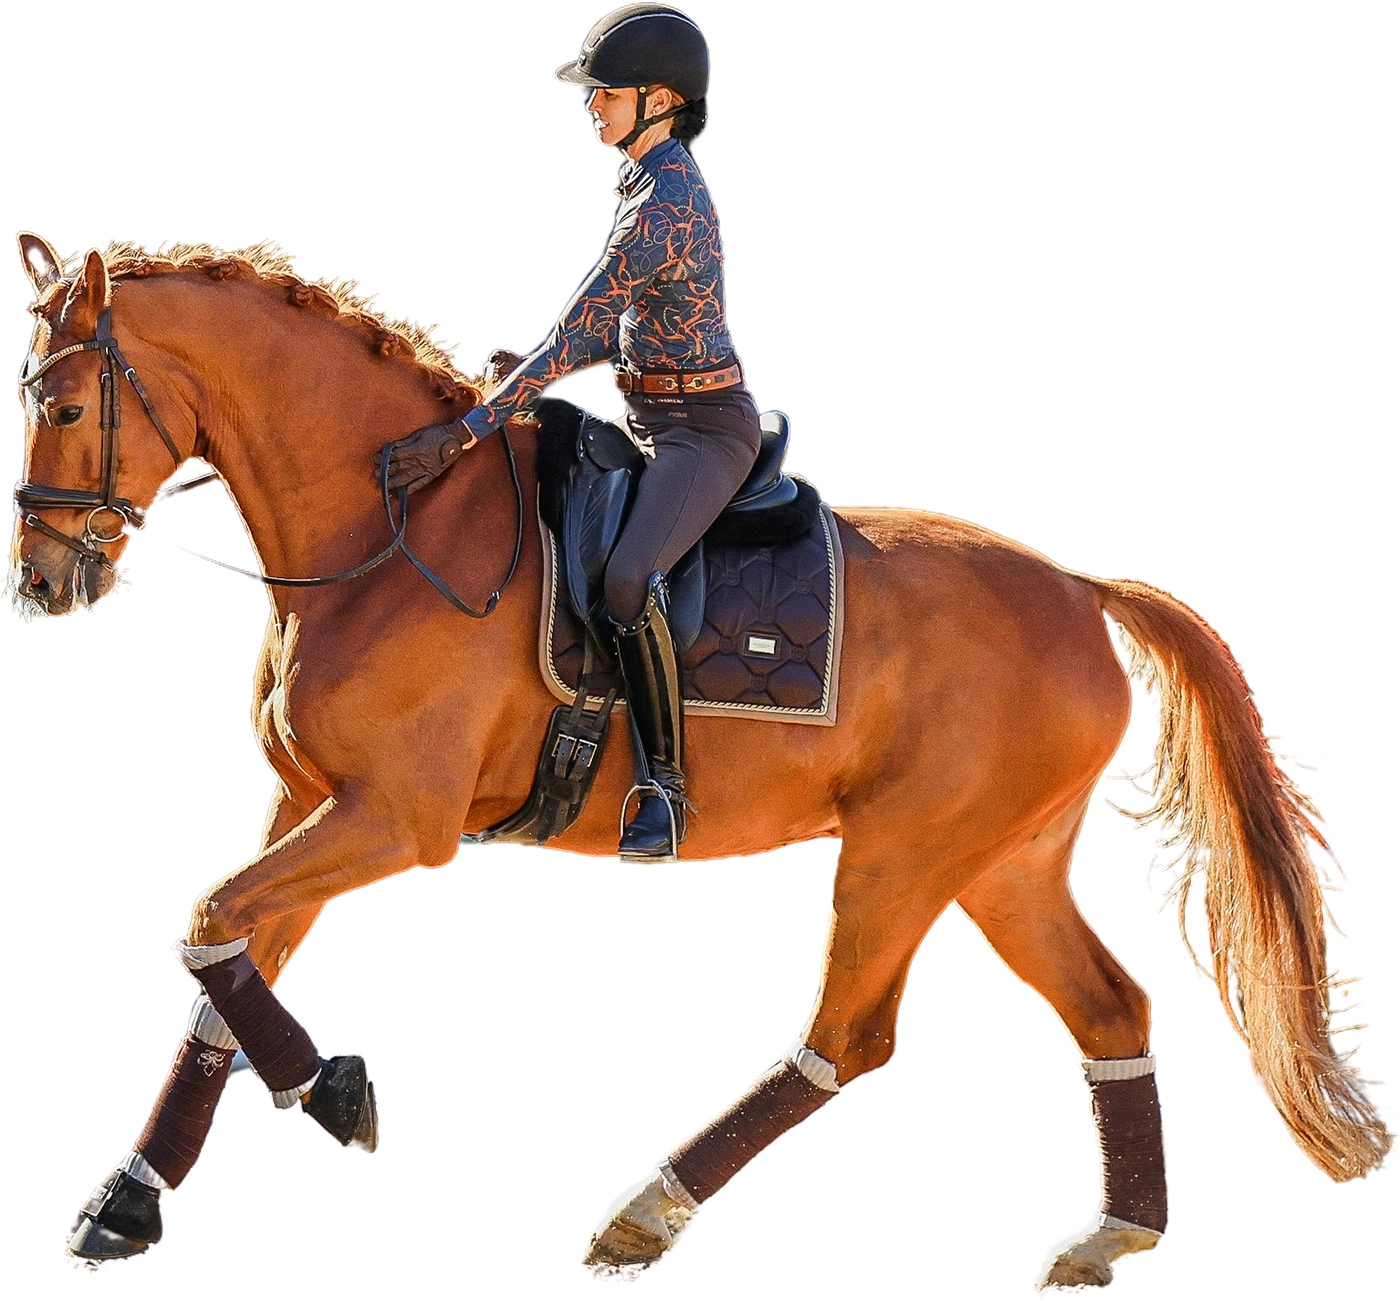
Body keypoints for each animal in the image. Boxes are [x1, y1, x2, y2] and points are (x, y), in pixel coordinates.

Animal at [11, 232, 1391, 1296]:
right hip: (1004, 861)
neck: (388, 523)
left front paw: (331, 1091)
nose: (43, 578)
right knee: (1105, 1012)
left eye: (67, 405)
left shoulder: (390, 814)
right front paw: (129, 1200)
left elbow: (209, 924)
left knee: (845, 1029)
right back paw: (1105, 1236)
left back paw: (641, 1213)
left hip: (906, 848)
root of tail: (1075, 585)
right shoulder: (309, 800)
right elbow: (220, 962)